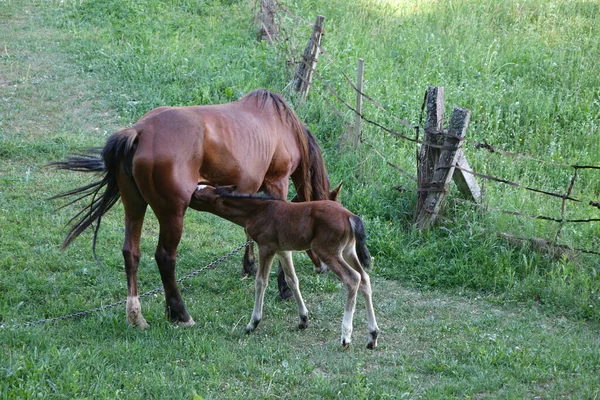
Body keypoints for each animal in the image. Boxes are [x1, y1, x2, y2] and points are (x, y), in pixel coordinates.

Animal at [191, 186, 380, 348]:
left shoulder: (266, 247)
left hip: (328, 251)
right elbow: (292, 280)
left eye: (199, 196)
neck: (257, 212)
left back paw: (346, 336)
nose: (188, 194)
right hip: (348, 251)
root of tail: (350, 216)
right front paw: (303, 320)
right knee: (365, 278)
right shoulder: (284, 250)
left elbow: (261, 282)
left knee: (353, 278)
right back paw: (372, 336)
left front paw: (252, 323)